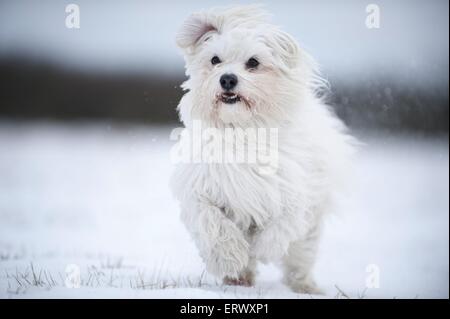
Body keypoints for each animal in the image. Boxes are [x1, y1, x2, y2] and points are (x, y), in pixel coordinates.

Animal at [169, 5, 356, 296]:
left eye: (253, 62)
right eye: (214, 60)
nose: (227, 79)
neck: (243, 130)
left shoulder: (293, 190)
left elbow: (282, 224)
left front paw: (262, 248)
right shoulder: (200, 189)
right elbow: (212, 222)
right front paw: (230, 257)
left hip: (311, 224)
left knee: (301, 255)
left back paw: (304, 286)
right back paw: (239, 277)